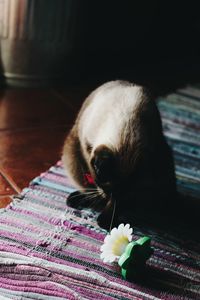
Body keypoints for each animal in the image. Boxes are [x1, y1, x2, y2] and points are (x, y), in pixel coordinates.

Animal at [62, 80, 177, 230]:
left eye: (123, 192)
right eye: (106, 187)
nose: (106, 196)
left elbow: (118, 203)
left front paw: (106, 220)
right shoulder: (86, 147)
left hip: (164, 162)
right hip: (72, 155)